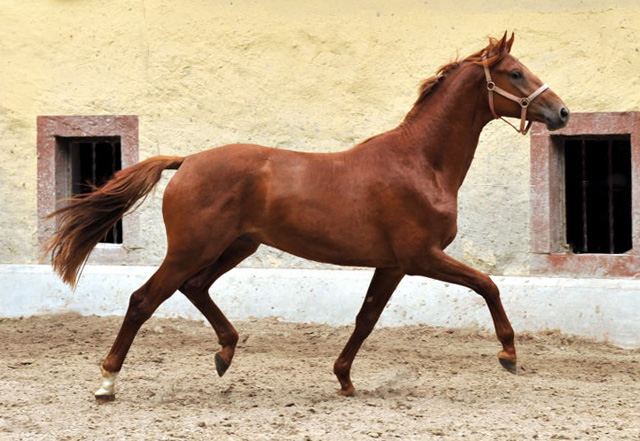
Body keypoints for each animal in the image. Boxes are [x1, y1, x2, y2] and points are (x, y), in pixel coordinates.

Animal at [45, 33, 568, 398]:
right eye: (515, 73)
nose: (562, 112)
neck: (420, 162)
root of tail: (187, 161)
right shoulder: (421, 257)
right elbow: (488, 285)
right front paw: (508, 353)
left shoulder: (393, 264)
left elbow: (366, 317)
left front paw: (344, 379)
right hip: (194, 247)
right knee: (143, 299)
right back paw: (107, 383)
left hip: (237, 245)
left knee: (195, 288)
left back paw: (225, 352)